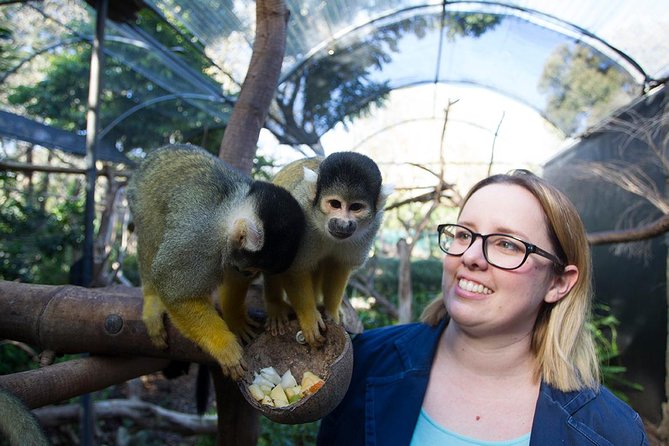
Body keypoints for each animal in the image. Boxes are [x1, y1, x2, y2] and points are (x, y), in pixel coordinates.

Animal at [128, 144, 306, 380]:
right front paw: (224, 348)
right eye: (252, 269)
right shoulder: (199, 241)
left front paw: (235, 319)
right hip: (141, 198)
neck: (226, 214)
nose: (252, 275)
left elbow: (233, 279)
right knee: (151, 233)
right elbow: (174, 290)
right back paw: (152, 299)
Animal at [264, 152, 392, 344]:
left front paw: (331, 313)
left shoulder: (372, 228)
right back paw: (275, 306)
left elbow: (339, 266)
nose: (343, 223)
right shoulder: (301, 212)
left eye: (356, 207)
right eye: (335, 204)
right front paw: (309, 318)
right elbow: (294, 268)